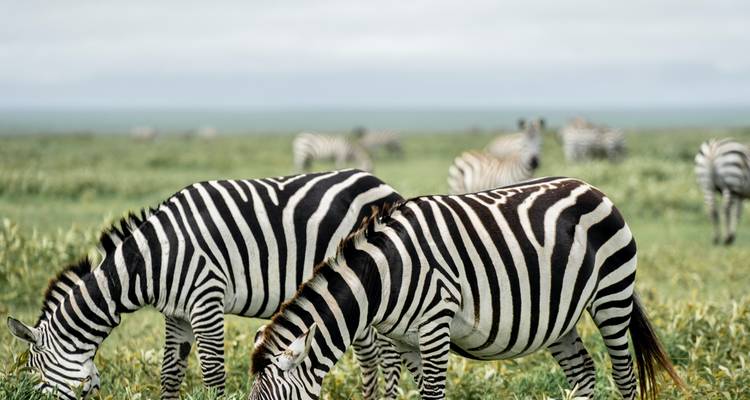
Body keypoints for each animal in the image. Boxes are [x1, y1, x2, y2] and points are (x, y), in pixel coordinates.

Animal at [6, 169, 404, 400]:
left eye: (36, 380)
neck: (152, 260)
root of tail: (382, 184)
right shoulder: (176, 314)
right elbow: (170, 374)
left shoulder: (206, 300)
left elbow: (213, 374)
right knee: (370, 355)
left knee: (382, 356)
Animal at [249, 177, 685, 400]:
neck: (383, 277)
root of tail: (591, 187)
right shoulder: (405, 339)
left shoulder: (435, 324)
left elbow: (434, 394)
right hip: (559, 319)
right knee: (583, 372)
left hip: (612, 296)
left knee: (624, 376)